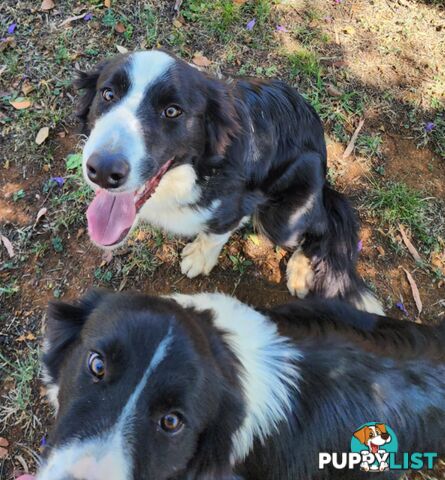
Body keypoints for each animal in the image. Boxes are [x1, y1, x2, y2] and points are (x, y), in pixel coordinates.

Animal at [74, 49, 384, 316]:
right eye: (108, 94)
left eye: (172, 111)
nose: (103, 171)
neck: (196, 171)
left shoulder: (239, 204)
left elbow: (215, 233)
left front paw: (199, 258)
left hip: (282, 218)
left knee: (320, 223)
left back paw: (300, 269)